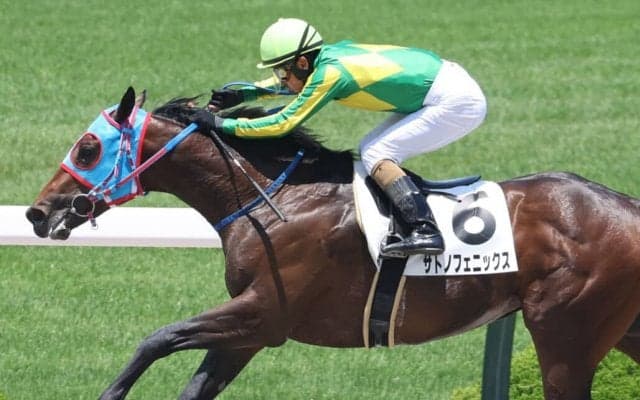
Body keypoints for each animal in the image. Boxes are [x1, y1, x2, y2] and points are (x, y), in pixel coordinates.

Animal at [26, 87, 640, 400]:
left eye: (86, 148)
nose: (37, 212)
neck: (275, 200)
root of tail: (627, 207)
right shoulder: (249, 331)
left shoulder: (266, 313)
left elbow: (156, 339)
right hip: (619, 329)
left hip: (565, 332)